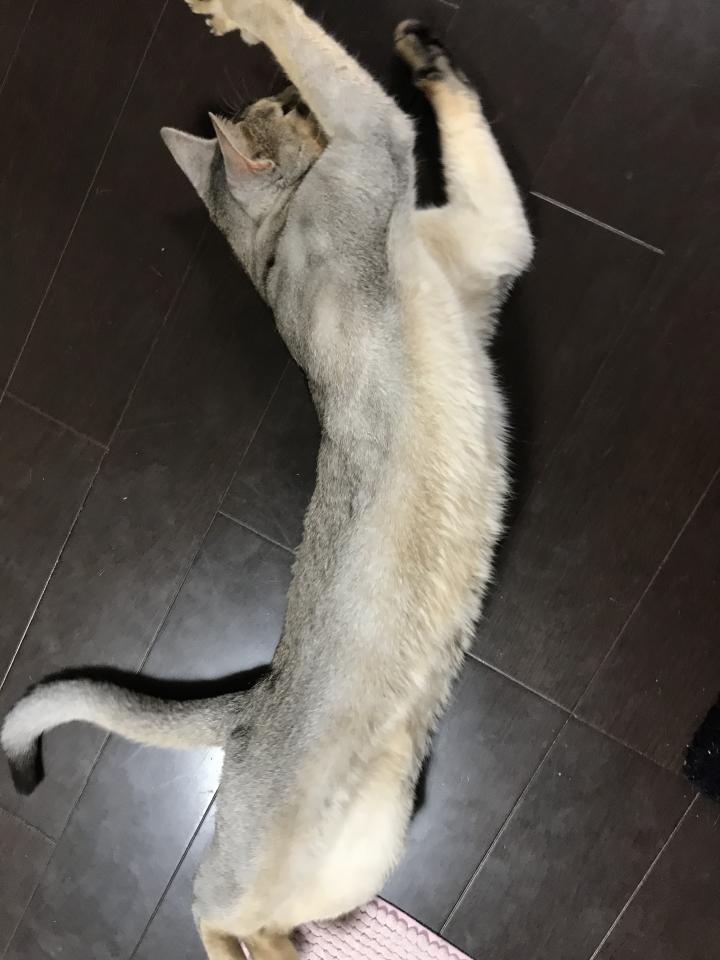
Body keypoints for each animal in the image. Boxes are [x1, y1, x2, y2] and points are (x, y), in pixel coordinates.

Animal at [1, 2, 532, 958]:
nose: (286, 97)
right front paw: (249, 16)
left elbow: (467, 139)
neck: (275, 238)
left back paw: (299, 948)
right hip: (281, 853)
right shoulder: (381, 147)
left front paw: (425, 56)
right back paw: (266, 950)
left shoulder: (493, 243)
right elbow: (335, 64)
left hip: (365, 840)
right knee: (209, 907)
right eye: (281, 112)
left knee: (257, 916)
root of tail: (248, 709)